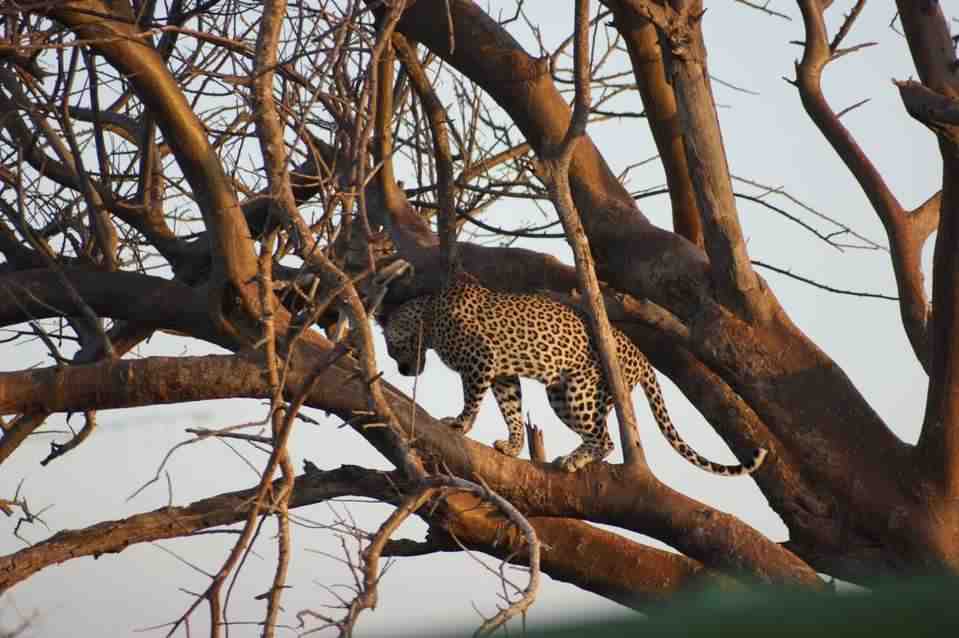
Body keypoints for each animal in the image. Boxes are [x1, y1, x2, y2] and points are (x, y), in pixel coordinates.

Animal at [380, 276, 767, 475]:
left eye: (390, 349)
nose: (402, 370)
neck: (429, 318)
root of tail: (640, 354)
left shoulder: (479, 362)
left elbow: (472, 400)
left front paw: (460, 424)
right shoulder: (502, 374)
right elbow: (511, 409)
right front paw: (514, 445)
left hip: (580, 392)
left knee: (605, 439)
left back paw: (575, 459)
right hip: (564, 393)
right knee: (600, 435)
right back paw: (573, 455)